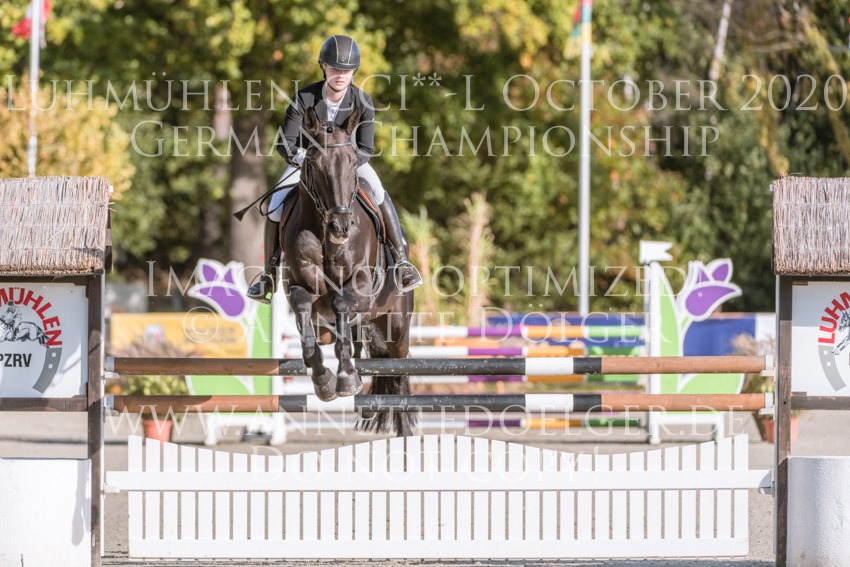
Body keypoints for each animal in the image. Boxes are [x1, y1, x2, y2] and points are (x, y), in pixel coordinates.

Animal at [280, 106, 414, 436]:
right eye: (315, 165)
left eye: (353, 162)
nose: (341, 227)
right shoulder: (299, 289)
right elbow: (305, 316)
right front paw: (324, 381)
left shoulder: (361, 287)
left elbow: (342, 302)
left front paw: (346, 379)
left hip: (397, 326)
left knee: (399, 373)